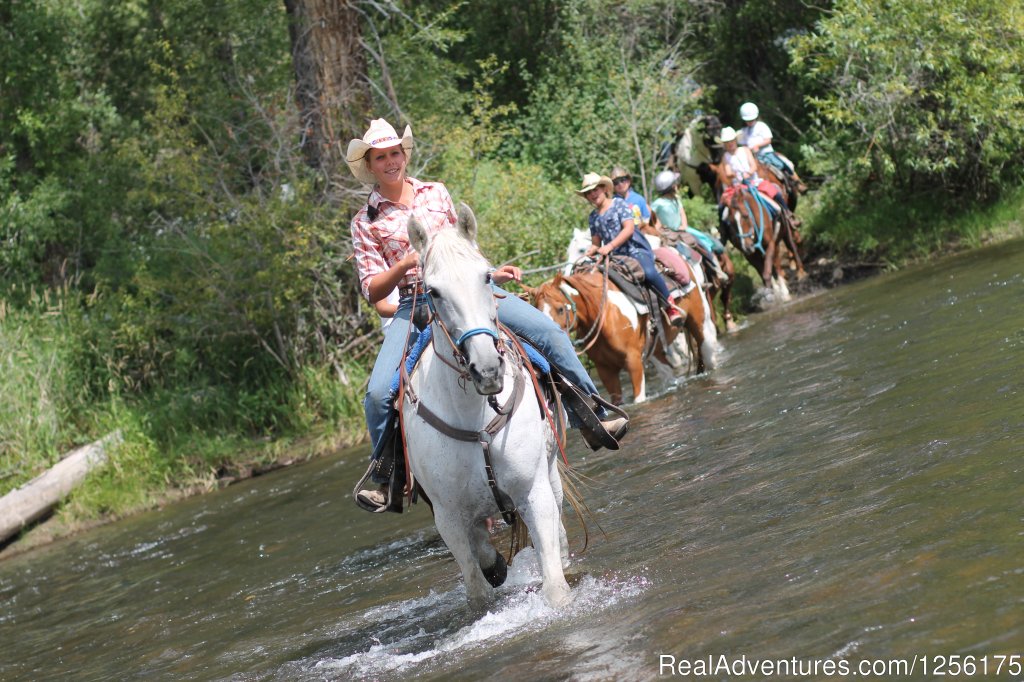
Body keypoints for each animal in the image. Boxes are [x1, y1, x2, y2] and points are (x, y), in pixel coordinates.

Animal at [403, 204, 573, 606]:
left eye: (487, 276)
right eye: (432, 291)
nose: (487, 369)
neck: (474, 417)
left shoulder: (534, 492)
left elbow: (554, 584)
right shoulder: (448, 519)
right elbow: (477, 587)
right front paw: (493, 568)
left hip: (551, 471)